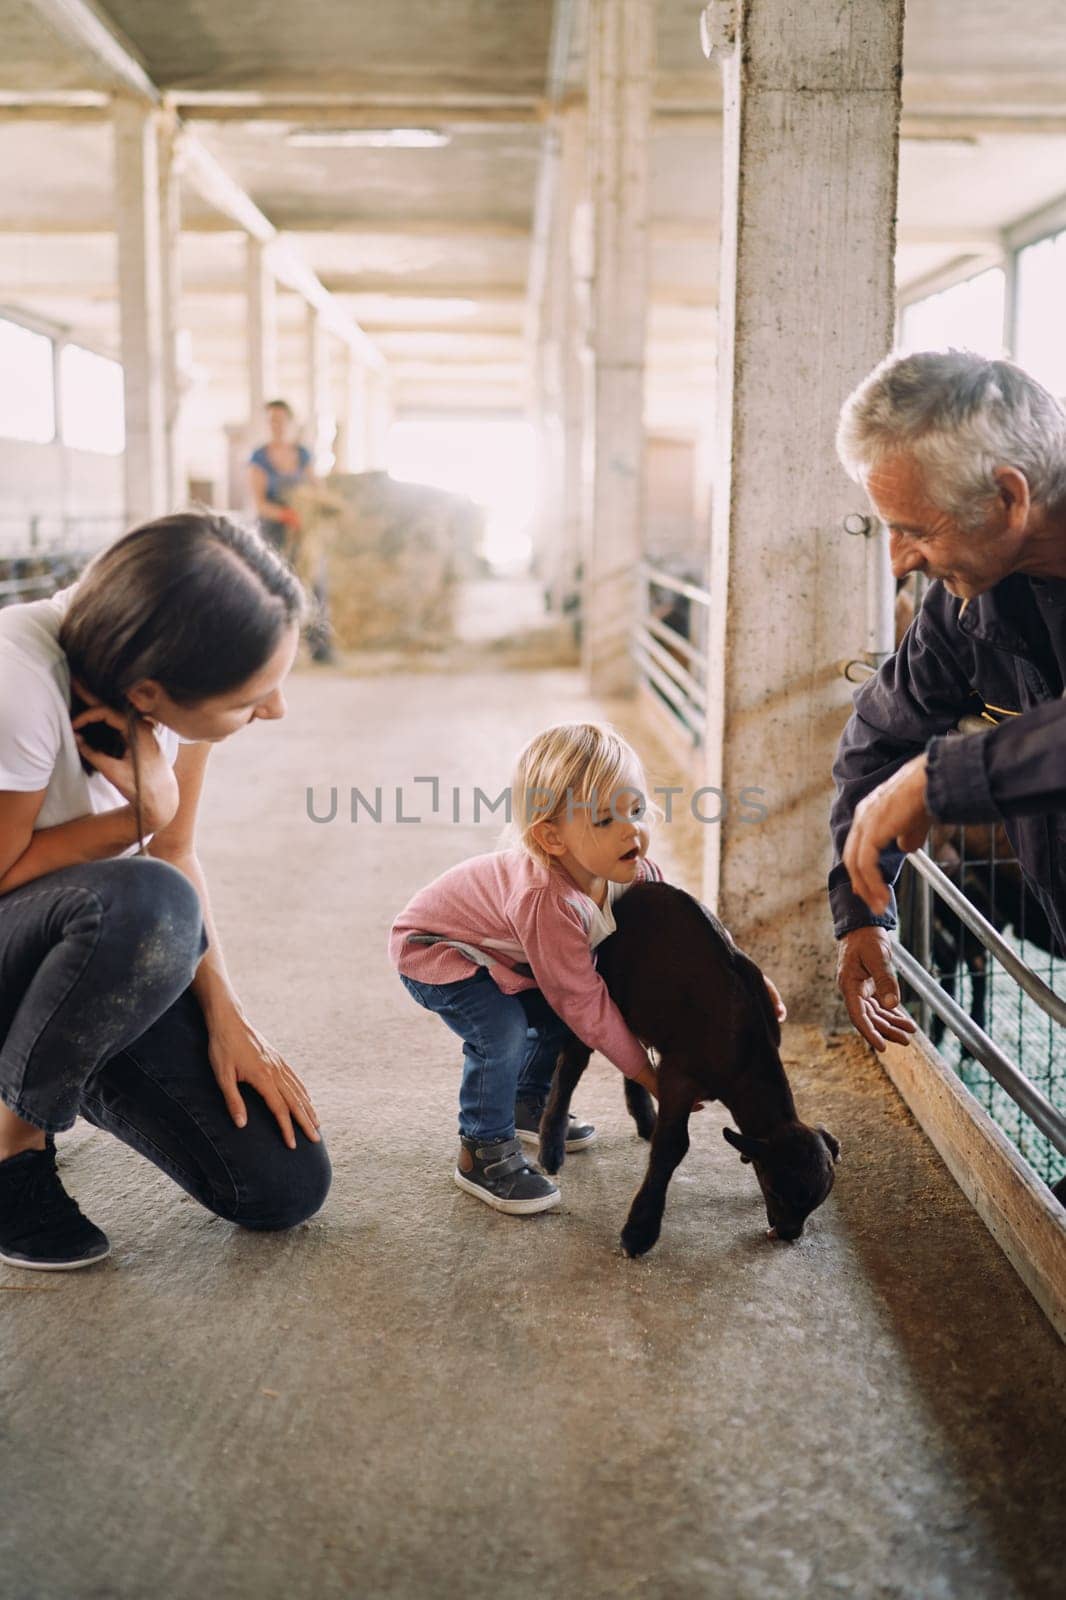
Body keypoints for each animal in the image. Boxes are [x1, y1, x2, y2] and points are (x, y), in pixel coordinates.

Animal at [541, 883, 838, 1254]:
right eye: (774, 1191)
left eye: (817, 1201)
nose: (788, 1233)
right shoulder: (679, 1076)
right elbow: (672, 1145)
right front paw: (639, 1231)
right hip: (596, 987)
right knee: (573, 1063)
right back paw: (552, 1146)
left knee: (630, 1048)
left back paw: (644, 1117)